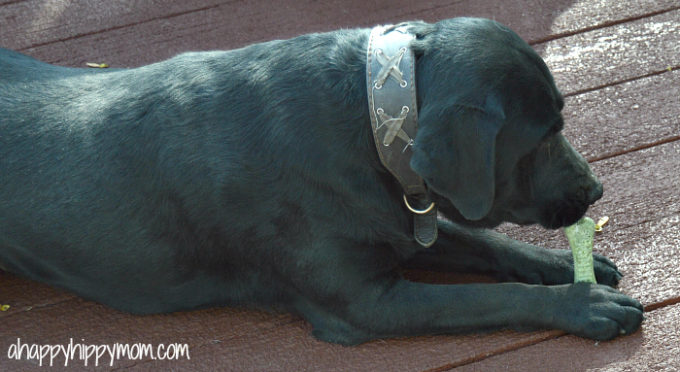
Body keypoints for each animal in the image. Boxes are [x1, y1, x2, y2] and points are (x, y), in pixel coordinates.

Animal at [1, 17, 644, 342]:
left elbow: (488, 244)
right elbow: (491, 295)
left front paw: (565, 264)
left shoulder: (399, 220)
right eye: (544, 134)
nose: (596, 191)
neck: (371, 115)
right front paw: (584, 302)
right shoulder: (366, 303)